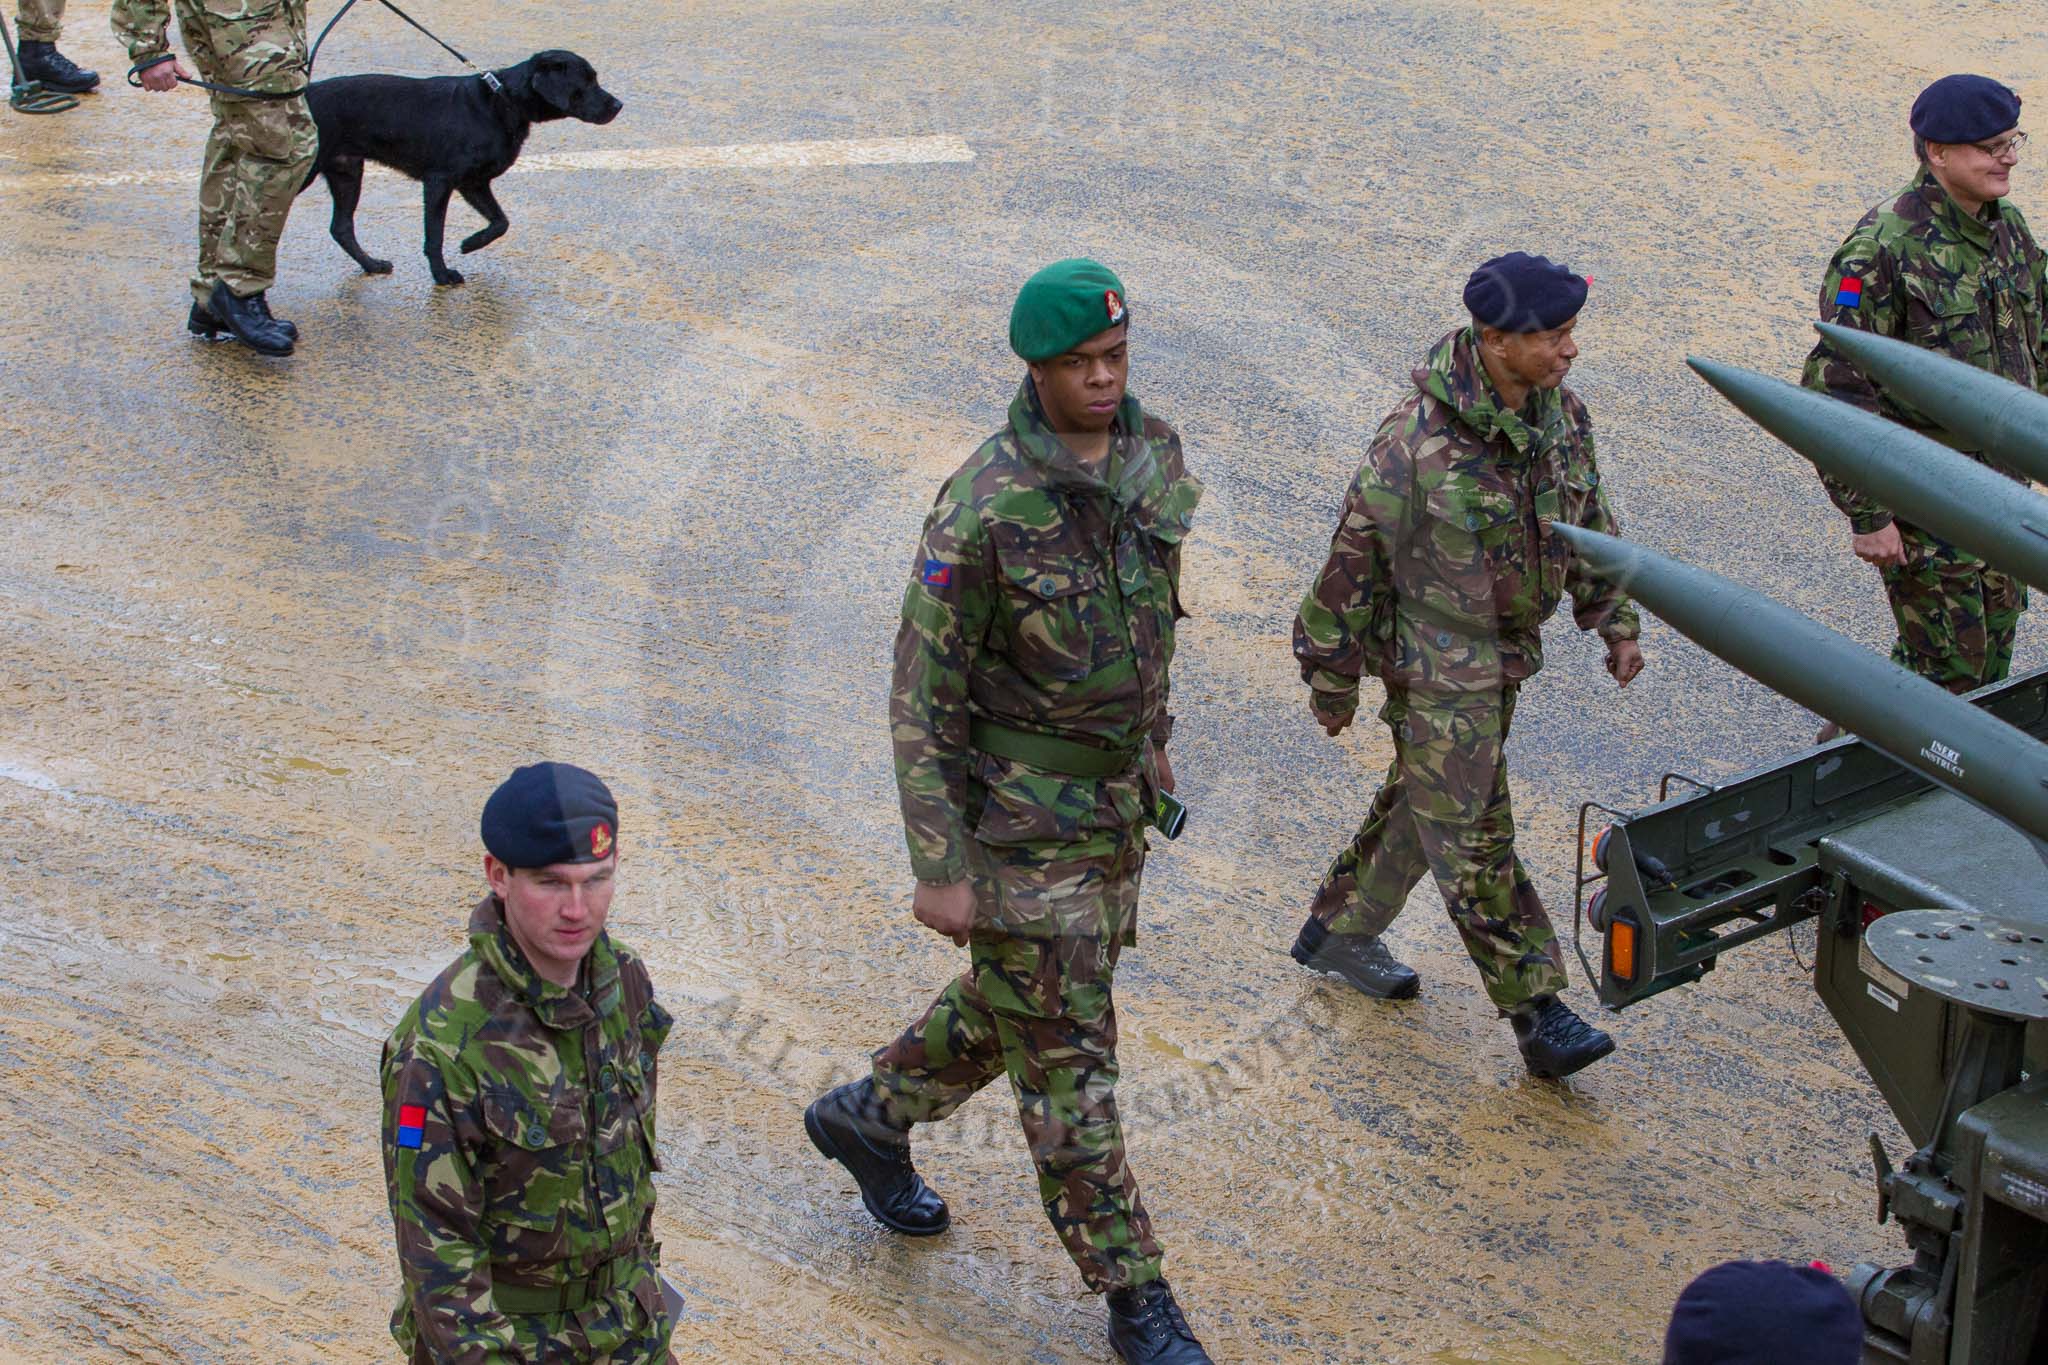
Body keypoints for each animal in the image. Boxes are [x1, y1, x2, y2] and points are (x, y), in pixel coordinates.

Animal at [303, 52, 618, 286]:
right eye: (587, 81)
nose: (619, 105)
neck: (502, 102)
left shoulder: (473, 182)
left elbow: (501, 222)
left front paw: (471, 243)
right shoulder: (439, 181)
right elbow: (435, 236)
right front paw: (442, 276)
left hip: (347, 173)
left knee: (341, 228)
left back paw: (372, 264)